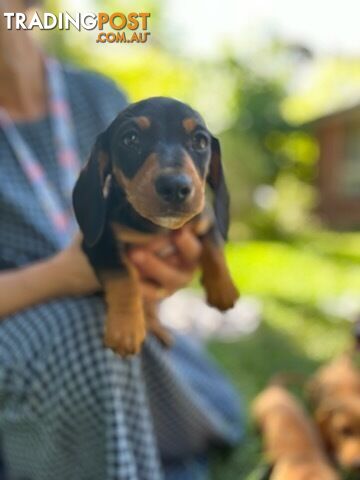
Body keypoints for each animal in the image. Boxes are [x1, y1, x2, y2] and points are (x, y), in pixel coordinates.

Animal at [73, 95, 239, 354]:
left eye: (200, 141)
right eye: (130, 139)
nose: (175, 186)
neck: (159, 227)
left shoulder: (206, 219)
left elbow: (214, 248)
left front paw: (223, 288)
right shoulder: (102, 246)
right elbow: (124, 277)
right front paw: (126, 328)